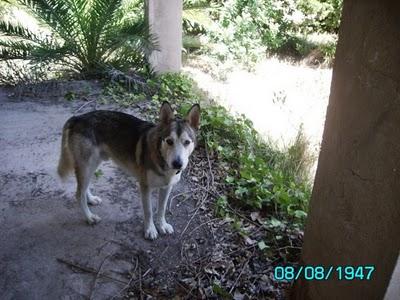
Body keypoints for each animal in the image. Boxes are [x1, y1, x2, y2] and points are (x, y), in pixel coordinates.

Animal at [56, 102, 200, 240]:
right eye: (169, 141)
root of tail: (78, 118)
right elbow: (148, 211)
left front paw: (162, 225)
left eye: (187, 142)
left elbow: (162, 208)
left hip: (92, 165)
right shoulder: (145, 187)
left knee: (83, 188)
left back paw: (91, 199)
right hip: (87, 166)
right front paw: (150, 230)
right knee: (78, 194)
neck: (161, 157)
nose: (177, 164)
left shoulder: (167, 187)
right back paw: (89, 217)